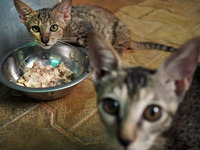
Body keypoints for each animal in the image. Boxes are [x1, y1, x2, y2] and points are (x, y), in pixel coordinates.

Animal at [13, 0, 176, 55]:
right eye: (35, 28)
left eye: (54, 27)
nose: (45, 40)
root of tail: (130, 39)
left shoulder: (88, 28)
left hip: (119, 31)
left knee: (119, 49)